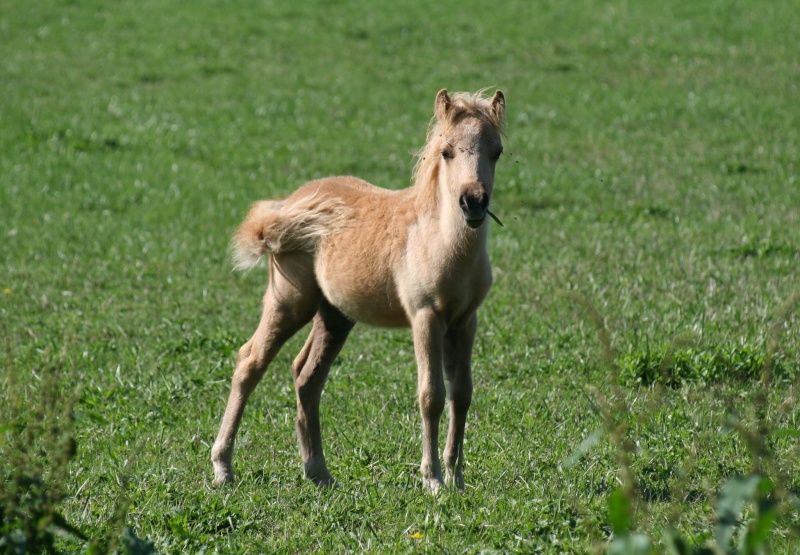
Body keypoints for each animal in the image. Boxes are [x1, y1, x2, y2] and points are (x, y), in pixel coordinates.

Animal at [209, 87, 504, 490]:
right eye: (447, 151)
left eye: (497, 151)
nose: (473, 202)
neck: (439, 240)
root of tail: (288, 206)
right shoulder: (426, 317)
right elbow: (431, 395)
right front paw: (433, 481)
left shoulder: (464, 321)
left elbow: (461, 394)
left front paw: (457, 479)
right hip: (290, 302)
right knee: (250, 362)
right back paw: (223, 466)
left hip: (334, 314)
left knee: (307, 375)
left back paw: (318, 471)